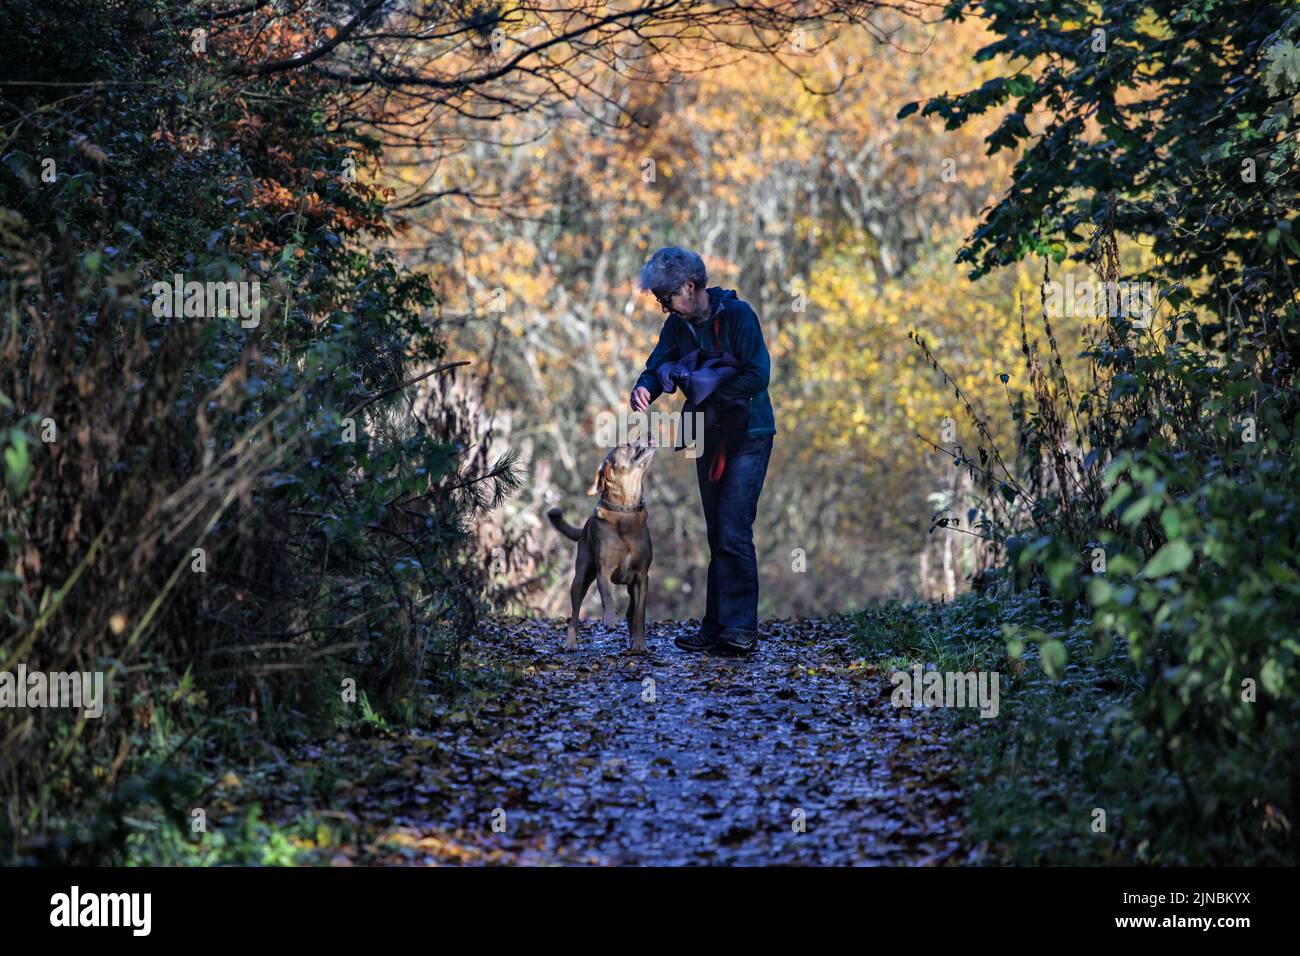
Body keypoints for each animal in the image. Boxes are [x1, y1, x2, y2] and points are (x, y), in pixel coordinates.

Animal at [543, 444, 655, 655]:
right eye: (625, 446)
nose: (645, 440)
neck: (625, 512)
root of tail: (584, 528)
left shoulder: (641, 576)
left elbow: (640, 612)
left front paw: (640, 643)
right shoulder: (604, 571)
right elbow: (606, 596)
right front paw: (610, 619)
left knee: (631, 611)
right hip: (580, 579)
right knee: (574, 615)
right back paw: (570, 643)